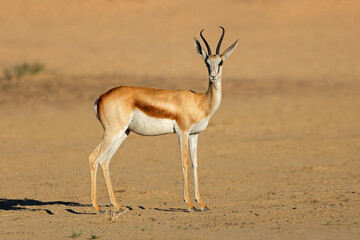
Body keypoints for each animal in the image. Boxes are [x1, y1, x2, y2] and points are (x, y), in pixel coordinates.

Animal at [88, 26, 238, 213]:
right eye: (206, 62)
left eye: (221, 62)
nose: (213, 76)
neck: (200, 101)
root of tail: (100, 97)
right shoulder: (182, 132)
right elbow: (185, 162)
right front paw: (189, 204)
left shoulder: (195, 134)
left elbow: (195, 163)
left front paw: (202, 204)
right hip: (112, 132)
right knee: (94, 158)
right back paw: (96, 207)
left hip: (122, 133)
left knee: (105, 161)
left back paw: (116, 205)